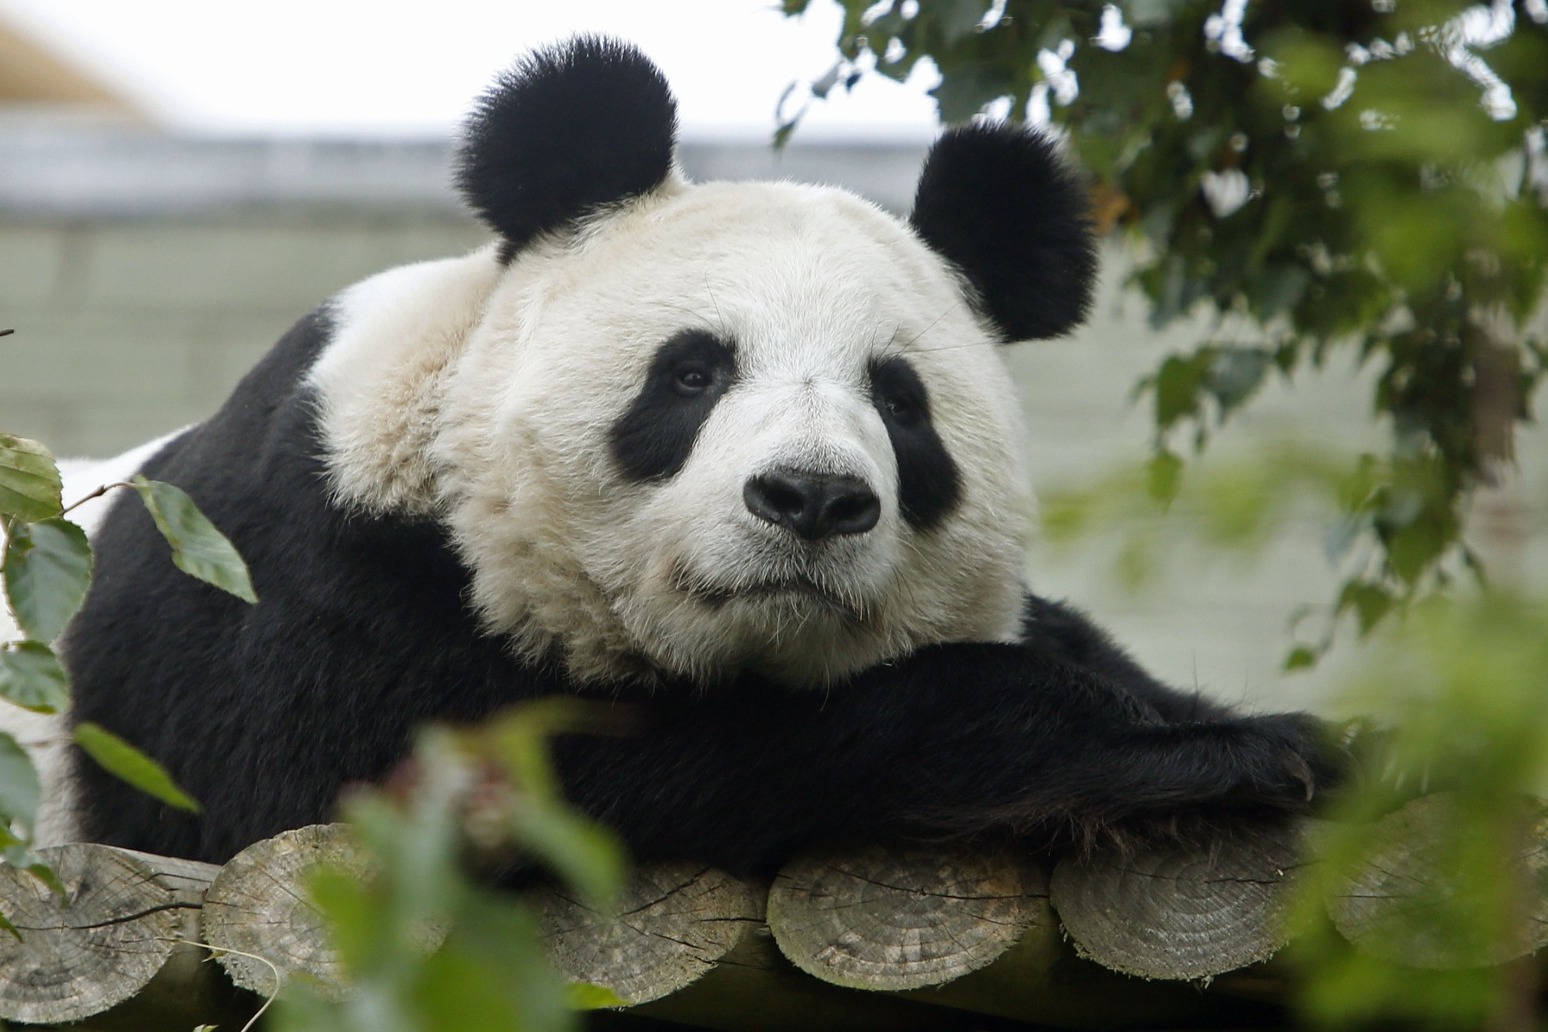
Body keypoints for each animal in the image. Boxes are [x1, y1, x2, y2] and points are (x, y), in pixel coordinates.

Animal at [15, 36, 1343, 872]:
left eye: (900, 402)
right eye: (694, 373)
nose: (811, 498)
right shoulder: (302, 588)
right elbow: (503, 785)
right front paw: (1197, 754)